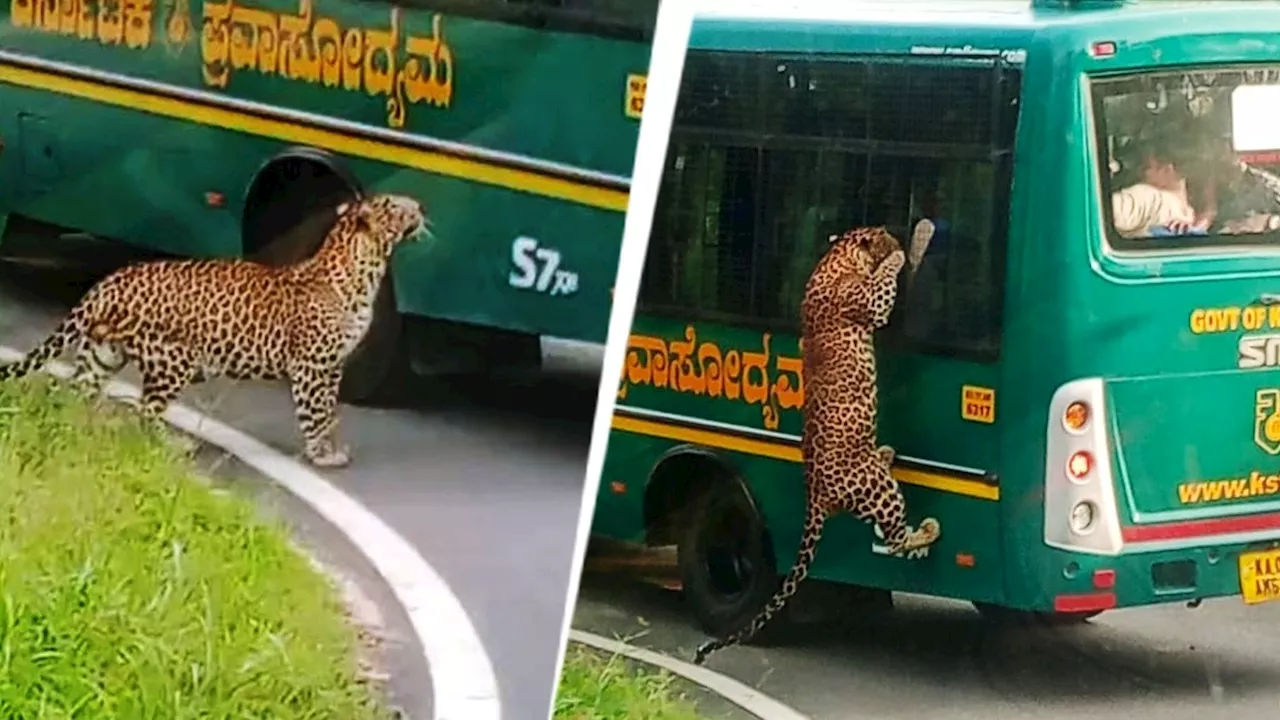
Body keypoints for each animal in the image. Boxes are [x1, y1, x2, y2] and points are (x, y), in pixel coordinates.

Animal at [0, 190, 430, 466]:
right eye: (395, 205)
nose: (422, 207)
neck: (366, 268)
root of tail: (112, 279)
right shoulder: (313, 365)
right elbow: (317, 411)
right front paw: (322, 456)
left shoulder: (335, 364)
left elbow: (330, 412)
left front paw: (329, 448)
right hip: (171, 361)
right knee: (145, 411)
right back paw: (172, 445)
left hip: (102, 351)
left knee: (80, 391)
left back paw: (82, 428)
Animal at [696, 222, 947, 661]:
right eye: (885, 234)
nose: (896, 236)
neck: (837, 257)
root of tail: (816, 496)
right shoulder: (871, 303)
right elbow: (884, 284)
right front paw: (900, 254)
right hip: (880, 489)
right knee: (896, 540)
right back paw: (927, 529)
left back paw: (886, 452)